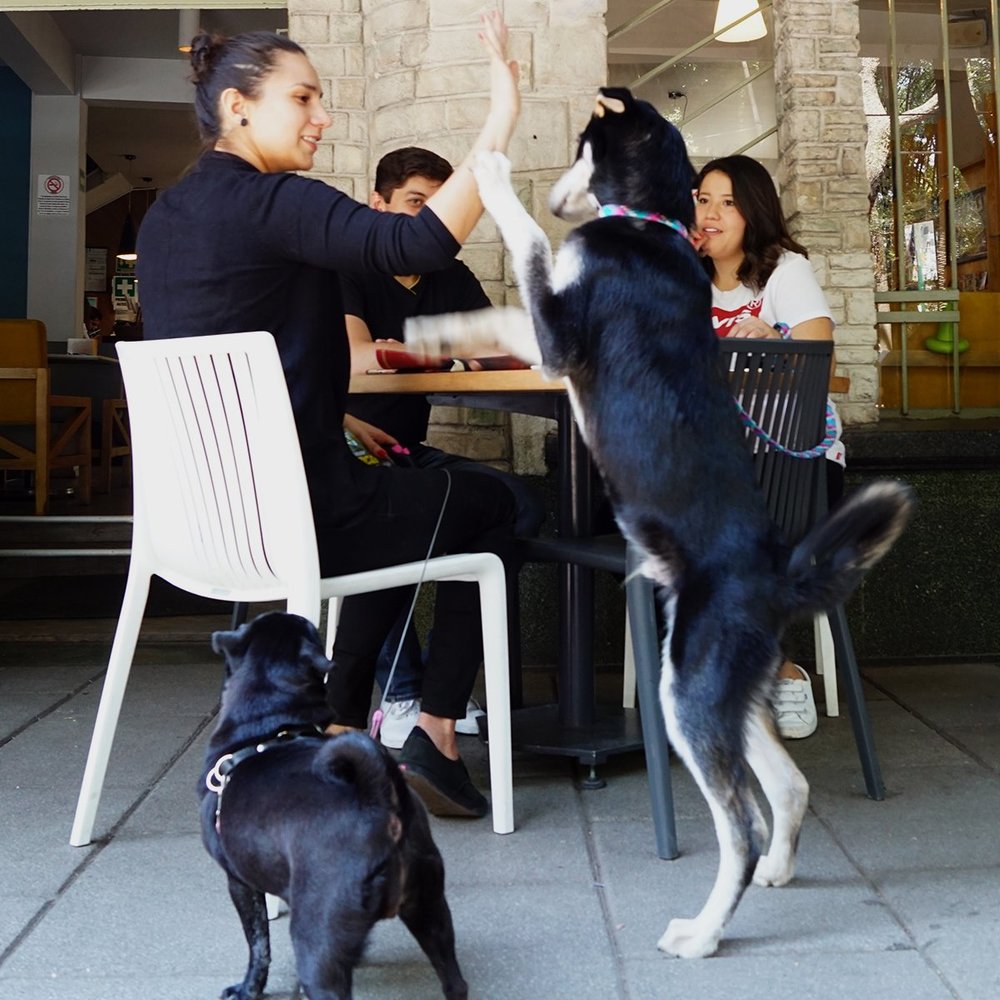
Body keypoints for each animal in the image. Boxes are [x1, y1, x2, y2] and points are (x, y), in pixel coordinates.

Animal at [203, 608, 472, 1000]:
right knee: (454, 980)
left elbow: (258, 945)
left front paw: (248, 989)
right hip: (431, 910)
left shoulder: (239, 882)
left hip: (317, 943)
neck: (267, 728)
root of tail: (376, 799)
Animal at [408, 88, 916, 960]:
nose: (554, 194)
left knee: (743, 825)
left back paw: (704, 932)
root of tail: (779, 577)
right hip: (710, 687)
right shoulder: (547, 342)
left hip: (688, 690)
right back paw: (776, 871)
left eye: (582, 147)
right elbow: (496, 315)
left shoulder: (560, 340)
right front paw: (432, 333)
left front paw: (497, 176)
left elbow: (530, 253)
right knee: (788, 789)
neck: (651, 225)